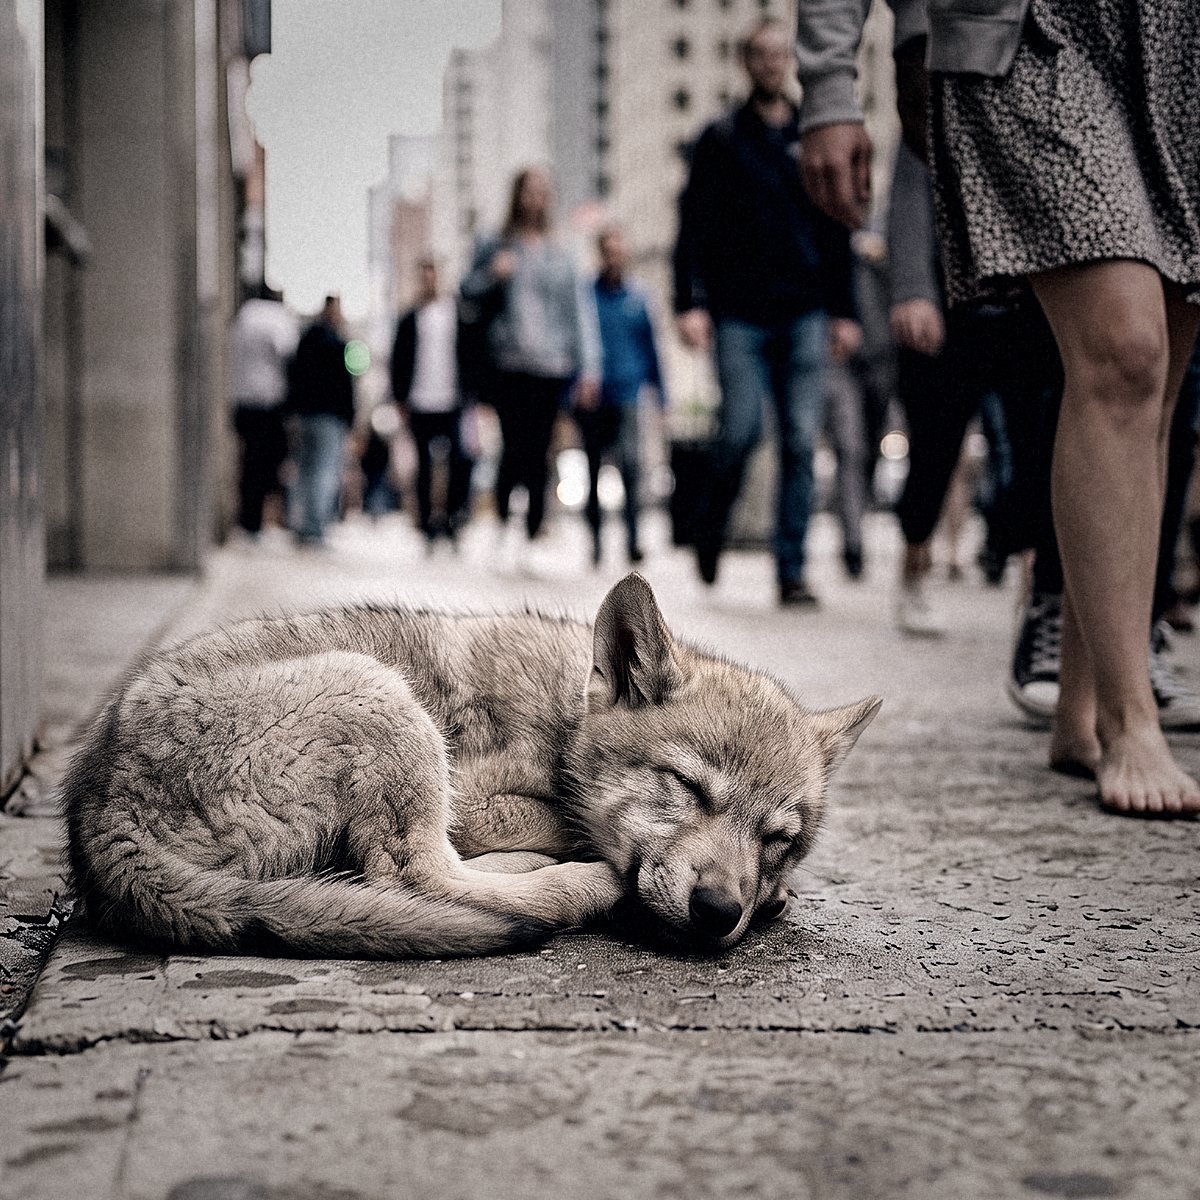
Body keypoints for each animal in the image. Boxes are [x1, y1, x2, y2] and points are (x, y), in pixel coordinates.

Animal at [62, 573, 880, 957]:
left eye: (778, 840)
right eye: (685, 787)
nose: (718, 912)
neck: (562, 720)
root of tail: (97, 816)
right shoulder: (481, 798)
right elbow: (560, 823)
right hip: (377, 693)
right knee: (419, 878)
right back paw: (583, 885)